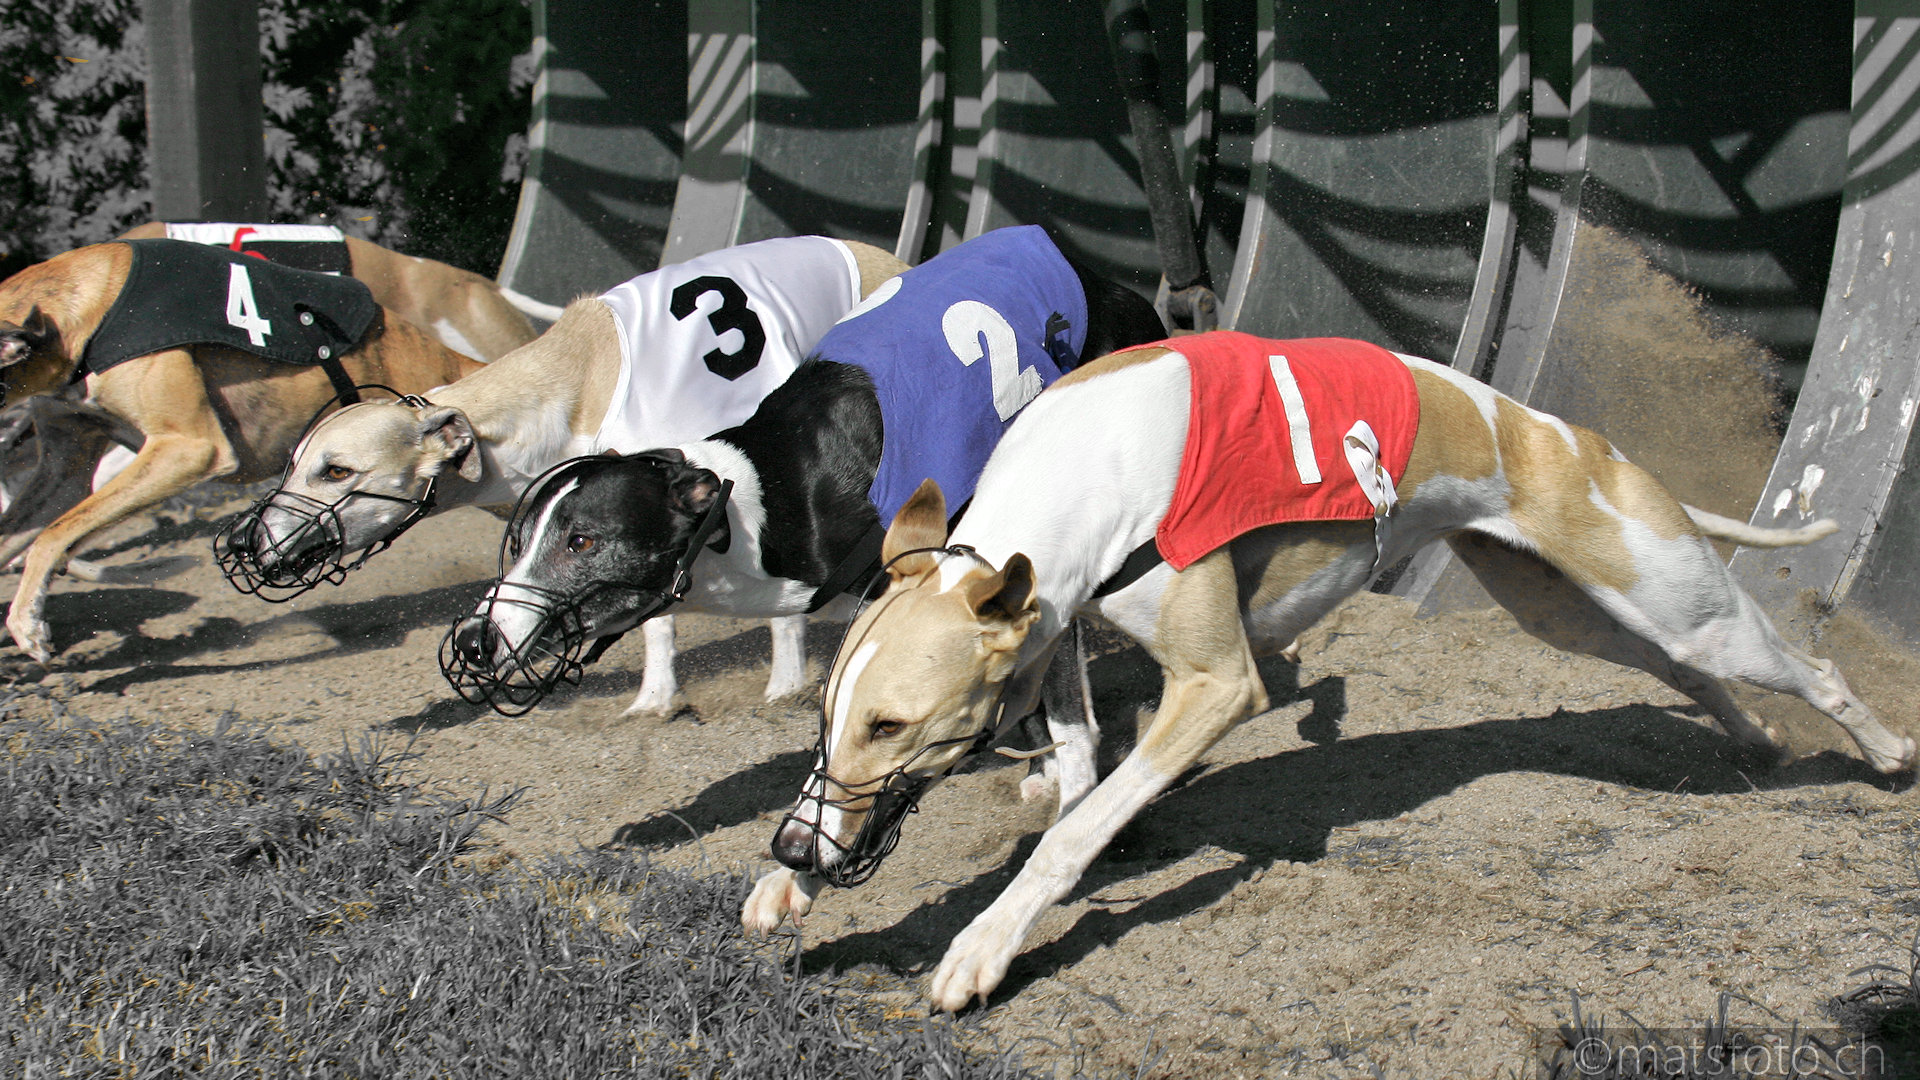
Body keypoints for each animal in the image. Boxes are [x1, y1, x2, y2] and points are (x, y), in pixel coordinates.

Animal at [0, 239, 483, 661]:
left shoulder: (189, 449)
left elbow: (52, 534)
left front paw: (28, 622)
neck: (84, 314)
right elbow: (35, 529)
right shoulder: (65, 468)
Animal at [442, 226, 1167, 810]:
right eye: (517, 540)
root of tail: (1113, 285)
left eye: (582, 540)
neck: (768, 497)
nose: (475, 641)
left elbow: (1065, 707)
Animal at [740, 332, 1913, 1013]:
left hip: (1672, 596)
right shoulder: (1057, 639)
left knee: (1803, 665)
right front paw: (787, 884)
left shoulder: (1218, 685)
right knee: (1690, 674)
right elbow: (1074, 781)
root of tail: (1570, 436)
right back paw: (1756, 742)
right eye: (832, 721)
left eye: (893, 725)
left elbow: (1074, 831)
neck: (1085, 475)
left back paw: (1885, 750)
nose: (791, 847)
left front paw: (983, 946)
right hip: (1575, 614)